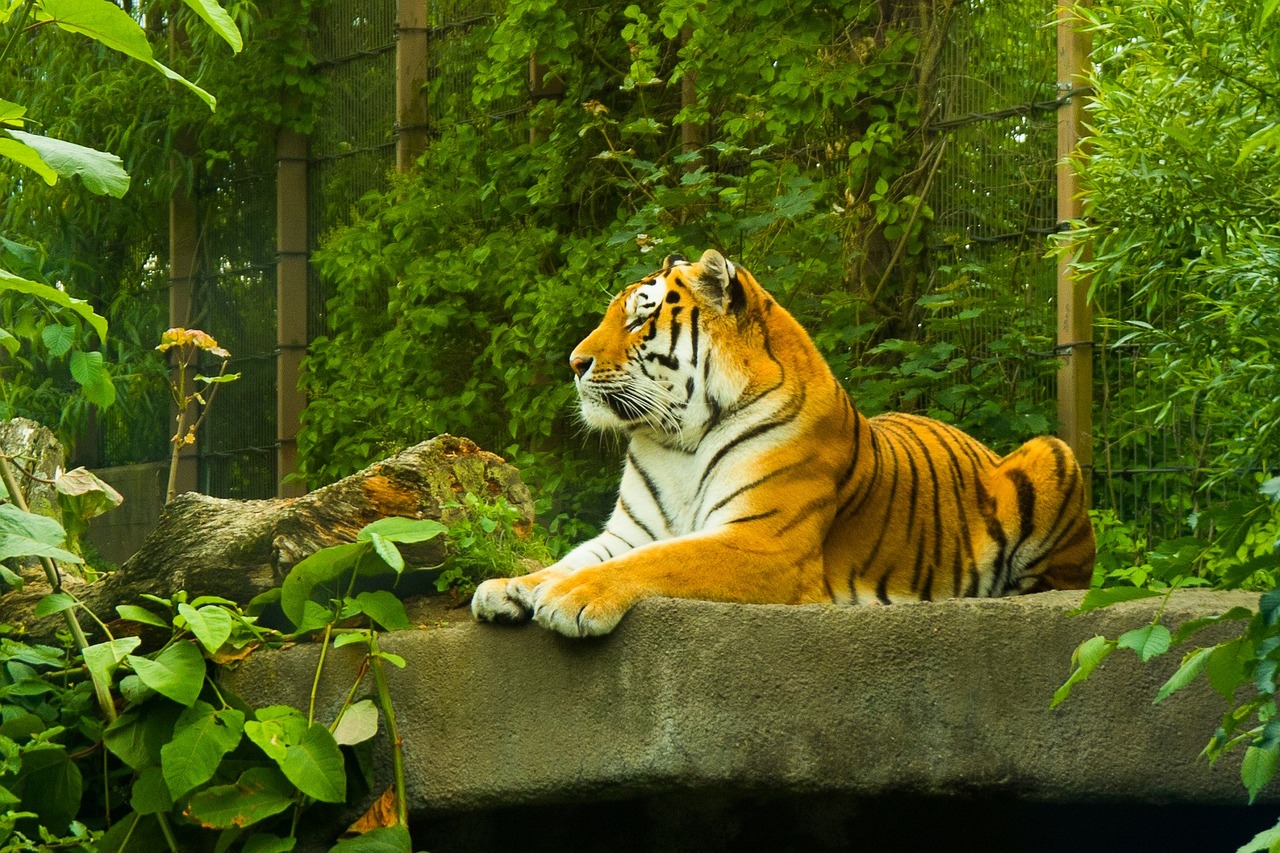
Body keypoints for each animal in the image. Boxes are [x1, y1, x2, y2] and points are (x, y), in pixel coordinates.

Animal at [476, 249, 1095, 635]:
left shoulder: (763, 541)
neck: (675, 441)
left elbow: (659, 561)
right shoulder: (630, 532)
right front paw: (509, 587)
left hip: (1052, 454)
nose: (574, 363)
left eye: (637, 321)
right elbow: (570, 559)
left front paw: (569, 597)